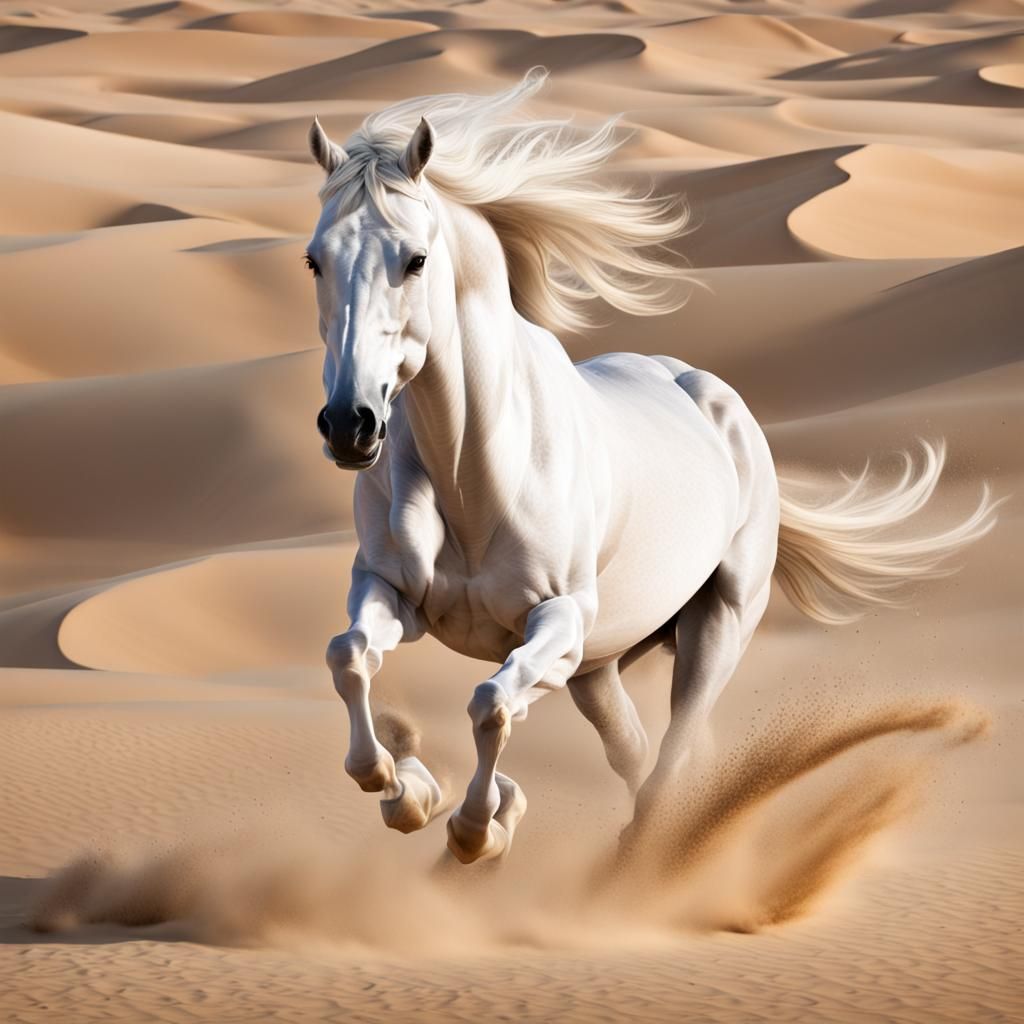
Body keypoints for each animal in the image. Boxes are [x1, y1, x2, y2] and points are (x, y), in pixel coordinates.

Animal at [301, 71, 997, 865]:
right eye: (315, 259)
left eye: (415, 259)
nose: (351, 424)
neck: (471, 468)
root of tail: (717, 399)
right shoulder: (389, 590)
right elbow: (349, 656)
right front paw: (405, 787)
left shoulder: (561, 619)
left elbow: (491, 705)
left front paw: (476, 828)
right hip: (601, 667)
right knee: (635, 754)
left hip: (713, 627)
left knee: (671, 760)